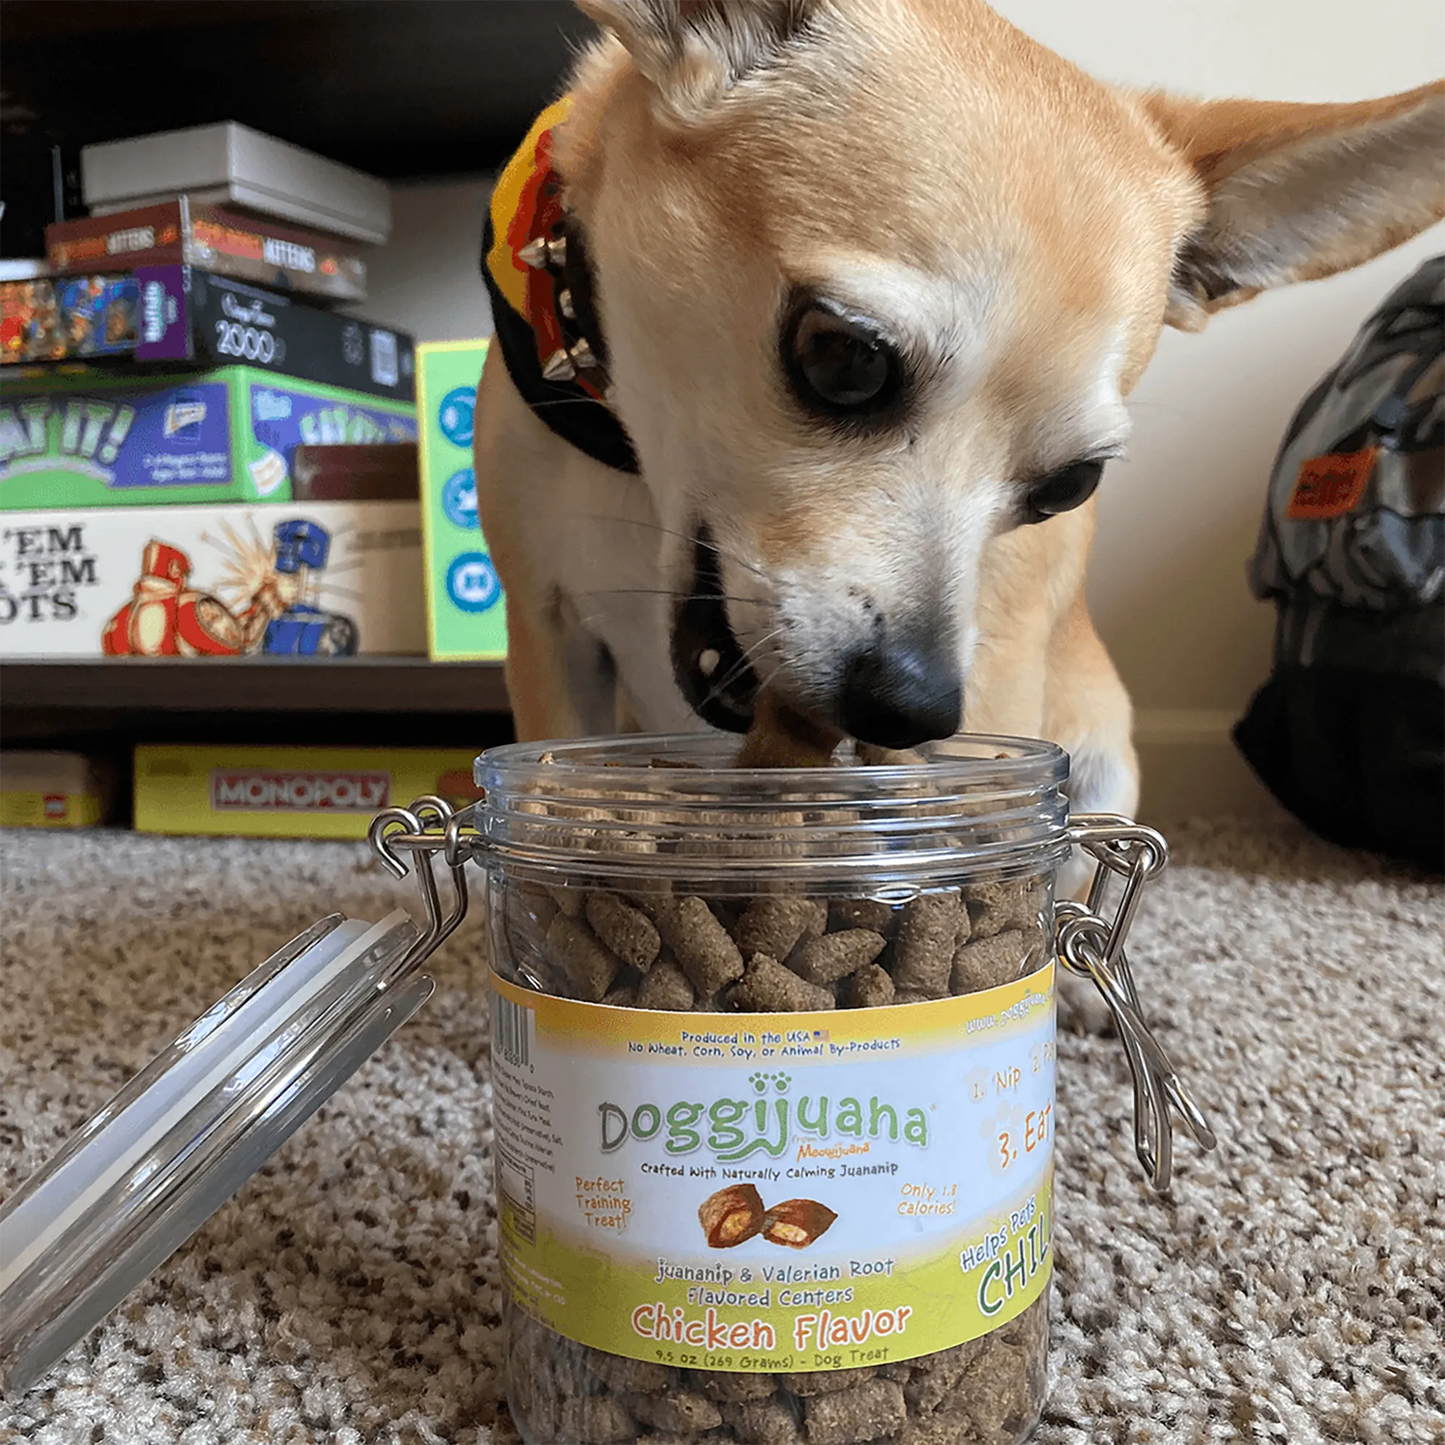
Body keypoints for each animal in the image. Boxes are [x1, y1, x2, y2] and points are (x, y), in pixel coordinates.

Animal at [473, 0, 1445, 826]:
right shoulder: (551, 641)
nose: (913, 705)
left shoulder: (997, 678)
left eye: (1070, 486)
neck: (633, 469)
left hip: (1098, 749)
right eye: (845, 359)